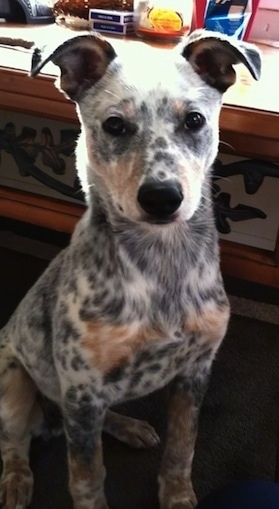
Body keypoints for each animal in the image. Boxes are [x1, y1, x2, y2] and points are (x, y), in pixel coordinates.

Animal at [0, 29, 262, 506]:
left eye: (194, 120)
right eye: (115, 125)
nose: (162, 198)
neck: (161, 265)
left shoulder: (195, 372)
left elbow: (183, 446)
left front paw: (177, 496)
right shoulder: (81, 386)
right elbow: (87, 476)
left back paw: (130, 426)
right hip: (13, 384)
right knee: (13, 443)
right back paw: (15, 481)